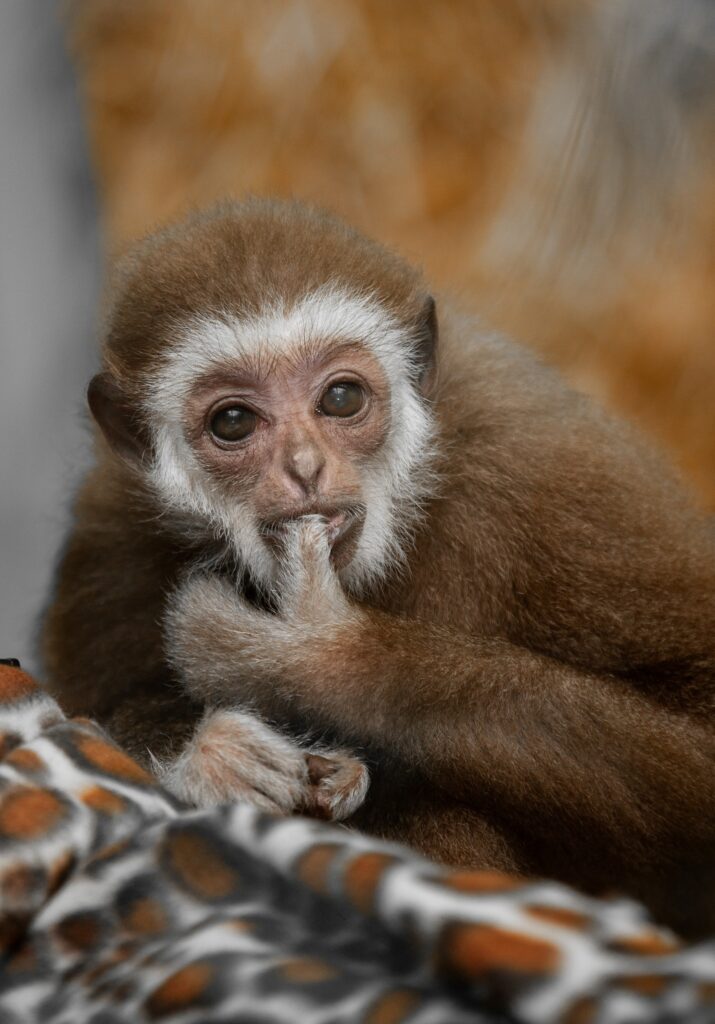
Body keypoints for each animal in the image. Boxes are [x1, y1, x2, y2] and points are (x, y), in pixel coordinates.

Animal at [41, 198, 715, 938]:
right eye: (233, 421)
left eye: (340, 399)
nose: (304, 467)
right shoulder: (110, 523)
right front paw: (216, 760)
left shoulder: (550, 472)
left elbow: (700, 732)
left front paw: (310, 654)